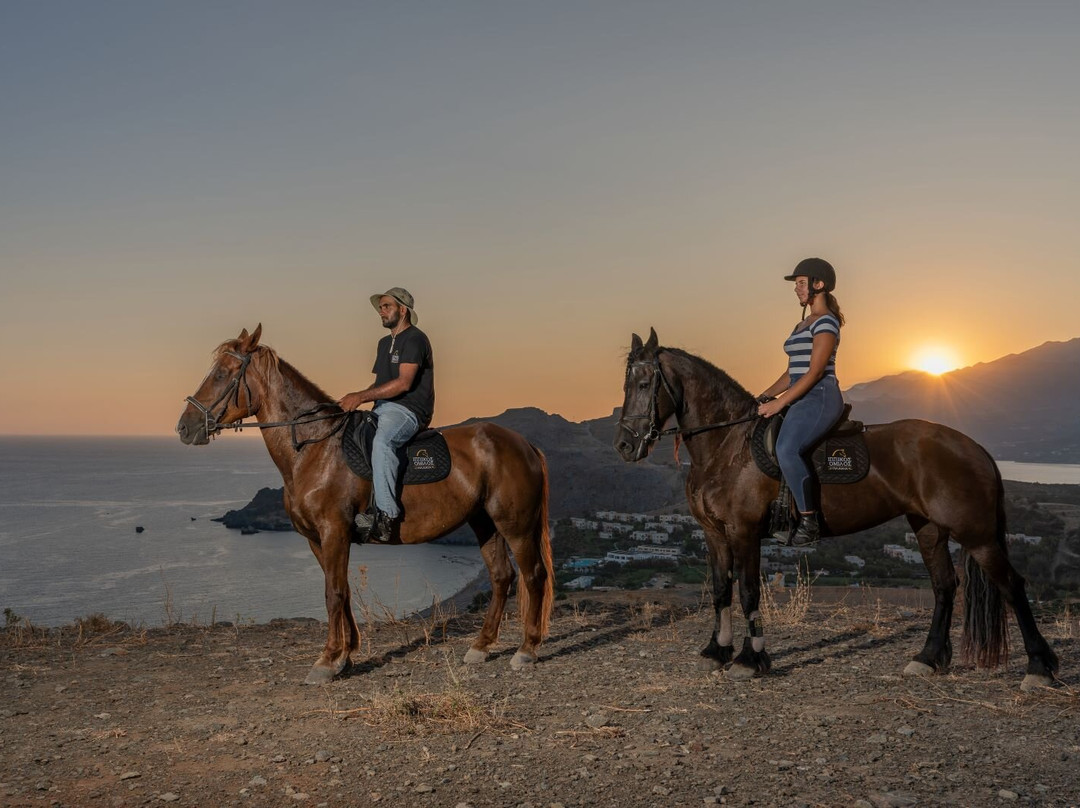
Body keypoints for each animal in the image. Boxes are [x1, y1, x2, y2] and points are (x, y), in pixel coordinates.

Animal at [177, 325, 554, 684]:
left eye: (222, 374)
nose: (184, 427)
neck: (315, 449)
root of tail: (525, 445)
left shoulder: (334, 532)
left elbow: (333, 593)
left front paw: (327, 661)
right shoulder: (317, 539)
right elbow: (340, 591)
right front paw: (345, 655)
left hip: (516, 526)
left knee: (533, 575)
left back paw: (526, 649)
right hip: (485, 522)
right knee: (502, 576)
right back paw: (481, 646)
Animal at [613, 328, 1058, 691]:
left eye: (645, 382)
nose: (625, 445)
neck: (727, 446)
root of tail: (974, 447)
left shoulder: (744, 532)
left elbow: (748, 590)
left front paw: (750, 659)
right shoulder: (714, 533)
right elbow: (721, 589)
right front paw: (716, 652)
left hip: (976, 533)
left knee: (1012, 585)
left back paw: (1039, 668)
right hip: (929, 528)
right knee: (945, 586)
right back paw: (927, 659)